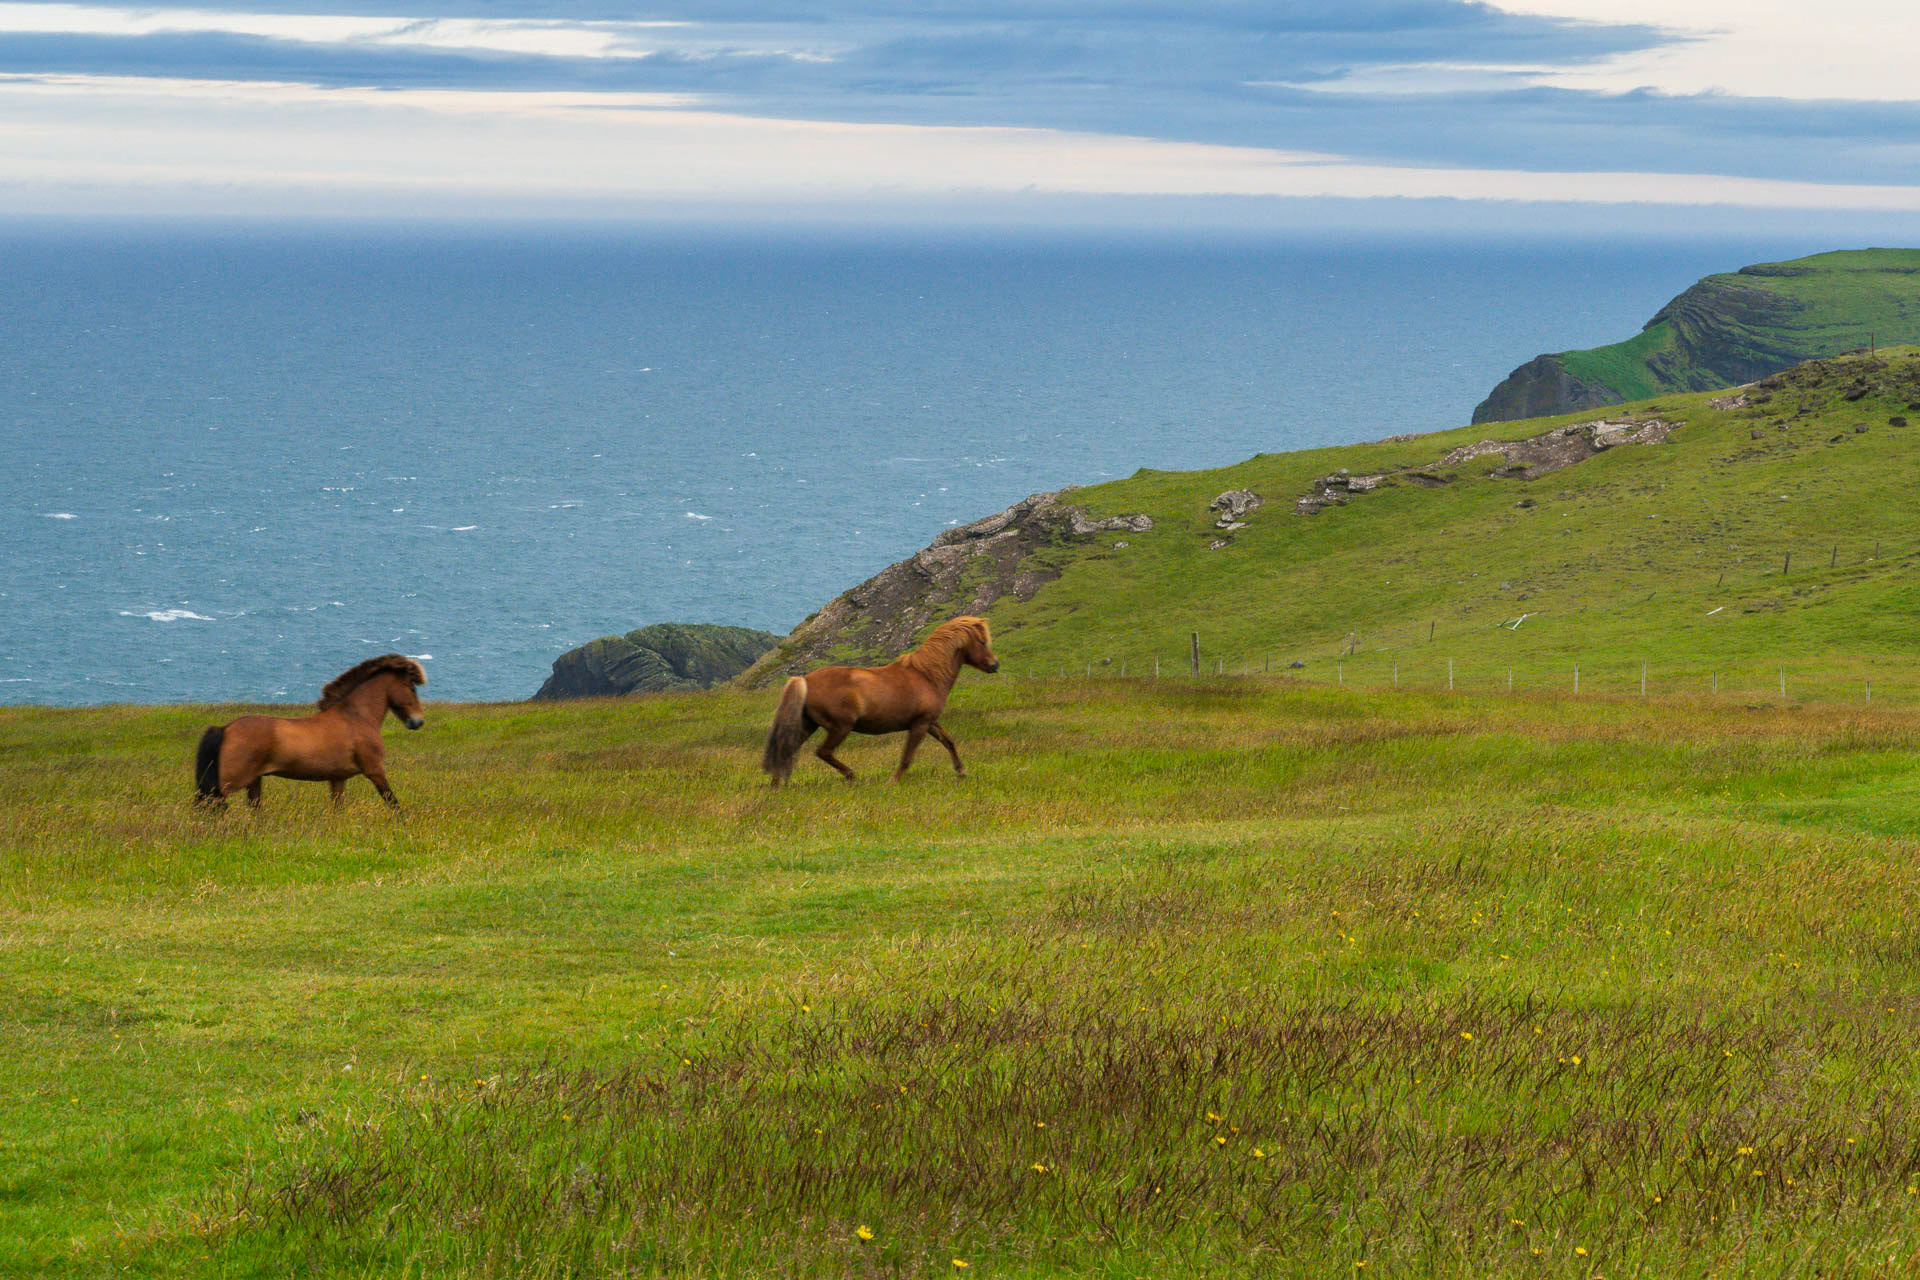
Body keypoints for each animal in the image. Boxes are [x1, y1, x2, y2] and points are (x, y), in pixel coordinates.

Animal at [193, 654, 427, 810]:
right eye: (412, 688)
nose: (418, 721)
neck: (357, 717)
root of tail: (225, 729)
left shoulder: (338, 779)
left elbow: (338, 808)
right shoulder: (374, 770)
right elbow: (392, 802)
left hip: (254, 781)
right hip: (230, 781)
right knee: (212, 803)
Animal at [761, 616, 999, 786]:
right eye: (982, 641)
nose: (995, 665)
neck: (926, 676)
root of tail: (805, 680)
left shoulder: (930, 722)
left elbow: (949, 741)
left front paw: (961, 771)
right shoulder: (920, 725)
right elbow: (907, 758)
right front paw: (892, 781)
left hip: (809, 724)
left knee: (786, 747)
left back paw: (777, 783)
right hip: (840, 727)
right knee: (823, 752)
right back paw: (851, 776)